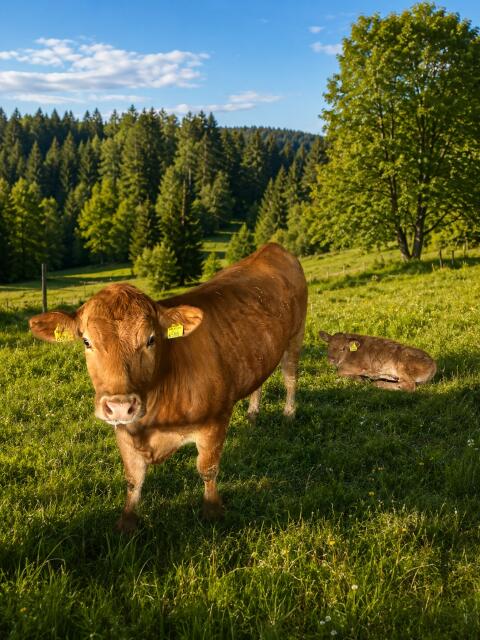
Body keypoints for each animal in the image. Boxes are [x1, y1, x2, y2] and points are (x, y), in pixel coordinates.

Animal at [29, 244, 307, 532]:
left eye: (151, 339)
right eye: (86, 341)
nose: (120, 406)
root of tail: (272, 247)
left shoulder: (215, 421)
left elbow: (207, 469)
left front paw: (212, 512)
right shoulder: (124, 431)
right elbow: (133, 479)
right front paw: (126, 523)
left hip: (296, 335)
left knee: (290, 377)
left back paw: (289, 415)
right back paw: (252, 415)